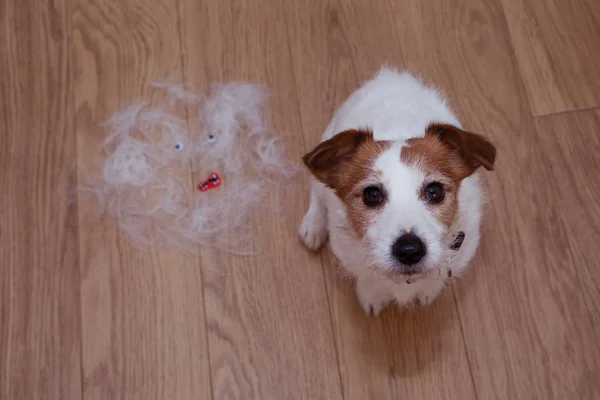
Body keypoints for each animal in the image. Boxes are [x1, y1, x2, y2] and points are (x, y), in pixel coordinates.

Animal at [298, 67, 494, 318]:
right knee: (316, 191)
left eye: (435, 190)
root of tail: (390, 76)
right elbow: (368, 277)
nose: (409, 250)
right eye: (371, 194)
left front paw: (428, 290)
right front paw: (372, 295)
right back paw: (313, 225)